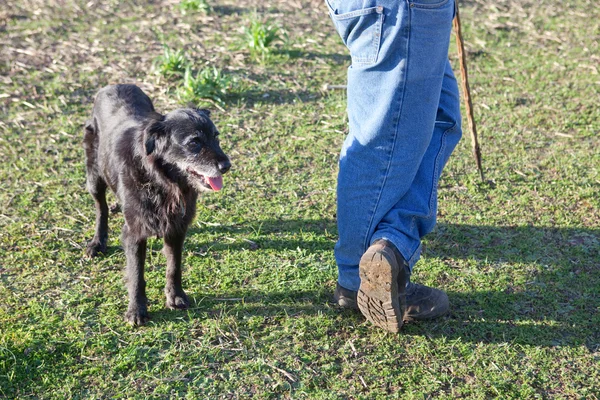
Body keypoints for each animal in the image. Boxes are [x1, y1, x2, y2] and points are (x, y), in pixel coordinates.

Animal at [81, 84, 229, 324]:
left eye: (216, 137)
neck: (162, 180)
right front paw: (136, 310)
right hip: (94, 176)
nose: (227, 166)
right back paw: (97, 242)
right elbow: (136, 275)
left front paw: (175, 296)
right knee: (100, 208)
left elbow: (174, 267)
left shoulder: (176, 228)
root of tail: (113, 85)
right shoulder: (134, 233)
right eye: (194, 142)